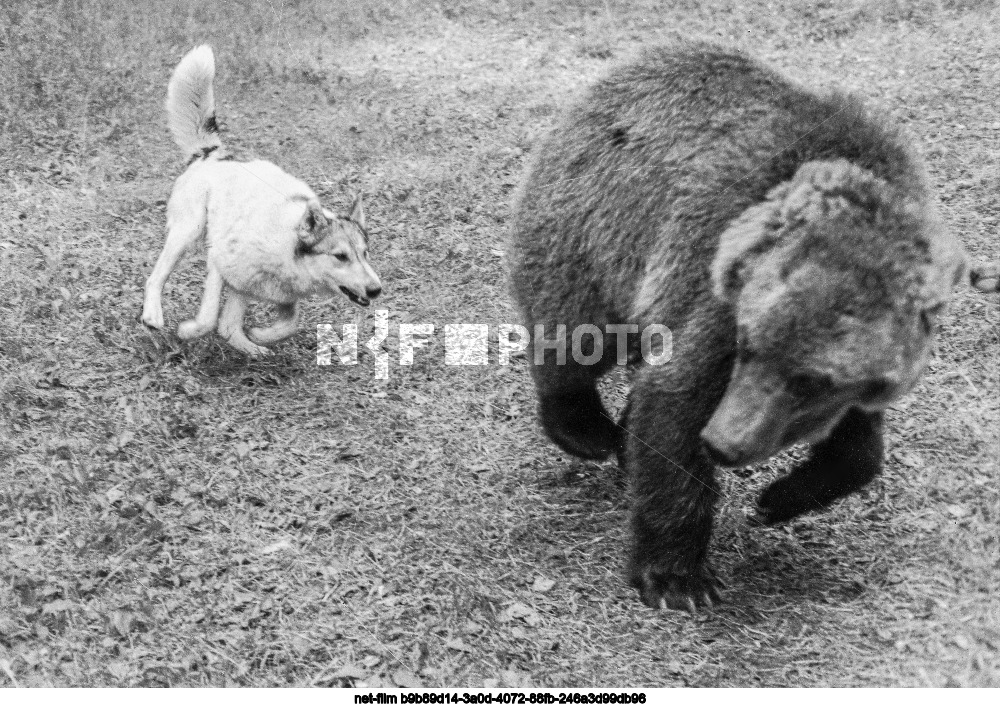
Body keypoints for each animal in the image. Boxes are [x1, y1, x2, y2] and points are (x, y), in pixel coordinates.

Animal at [143, 45, 384, 356]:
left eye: (365, 254)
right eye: (340, 256)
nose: (376, 290)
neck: (286, 246)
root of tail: (214, 153)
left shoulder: (269, 291)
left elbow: (286, 322)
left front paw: (258, 336)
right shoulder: (220, 260)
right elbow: (209, 318)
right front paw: (187, 331)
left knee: (228, 326)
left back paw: (253, 349)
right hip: (187, 232)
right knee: (155, 278)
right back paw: (152, 316)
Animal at [512, 41, 964, 612]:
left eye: (810, 380)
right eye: (747, 345)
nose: (724, 443)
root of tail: (631, 64)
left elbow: (859, 445)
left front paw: (778, 498)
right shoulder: (717, 289)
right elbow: (676, 401)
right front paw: (677, 578)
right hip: (598, 223)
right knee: (576, 331)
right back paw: (587, 428)